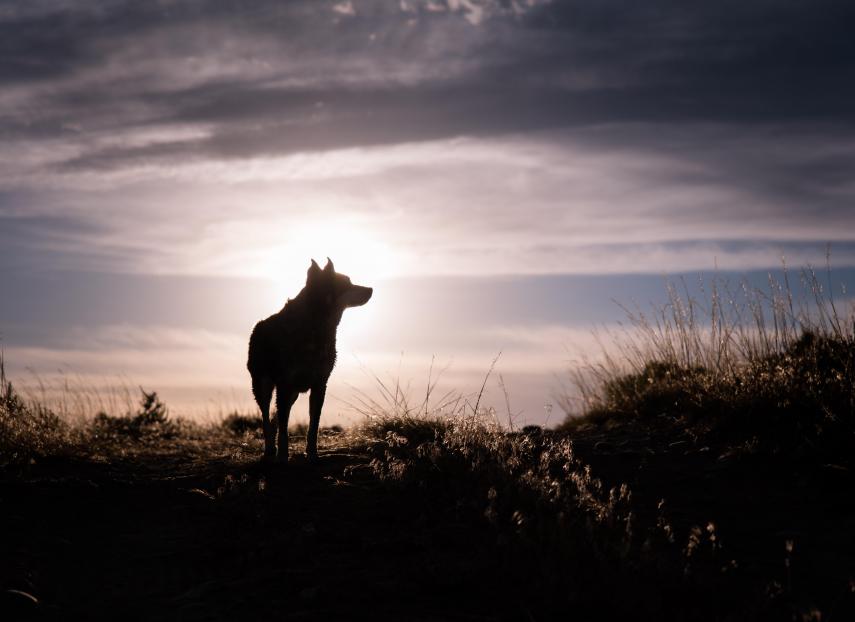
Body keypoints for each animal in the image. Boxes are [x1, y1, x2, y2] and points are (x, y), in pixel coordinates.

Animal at [244, 258, 372, 464]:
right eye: (347, 283)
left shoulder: (319, 384)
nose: (371, 289)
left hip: (293, 393)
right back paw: (270, 449)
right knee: (266, 417)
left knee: (275, 417)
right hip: (263, 386)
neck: (315, 327)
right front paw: (283, 456)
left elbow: (313, 426)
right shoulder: (285, 384)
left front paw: (312, 455)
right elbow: (284, 427)